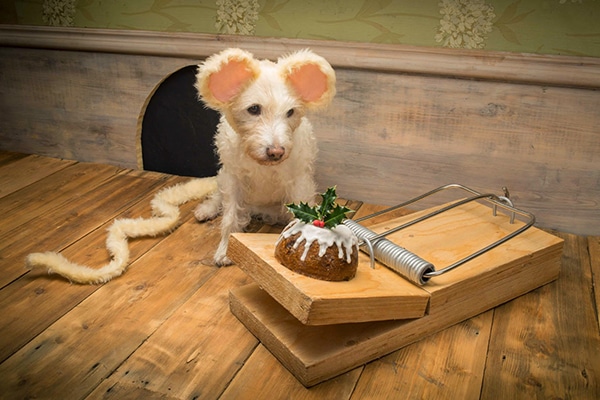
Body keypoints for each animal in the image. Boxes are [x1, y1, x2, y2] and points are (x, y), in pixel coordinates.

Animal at [193, 48, 338, 266]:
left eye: (290, 112)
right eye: (254, 109)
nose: (276, 152)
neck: (262, 165)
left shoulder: (299, 184)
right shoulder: (233, 179)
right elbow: (229, 217)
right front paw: (225, 250)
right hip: (223, 177)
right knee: (218, 195)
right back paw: (207, 209)